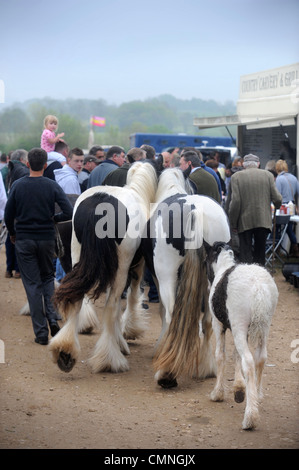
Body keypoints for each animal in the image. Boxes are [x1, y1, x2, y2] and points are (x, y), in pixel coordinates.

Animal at [49, 162, 158, 374]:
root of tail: (98, 206)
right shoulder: (136, 268)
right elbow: (131, 298)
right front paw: (126, 335)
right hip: (121, 269)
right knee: (111, 306)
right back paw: (110, 359)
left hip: (76, 257)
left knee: (76, 299)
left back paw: (66, 352)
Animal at [143, 167, 232, 388]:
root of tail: (194, 209)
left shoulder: (158, 278)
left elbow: (163, 312)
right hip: (210, 281)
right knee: (207, 322)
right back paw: (206, 368)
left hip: (166, 276)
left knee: (171, 315)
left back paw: (166, 374)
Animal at [206, 242, 278, 430]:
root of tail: (259, 287)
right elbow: (235, 355)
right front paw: (239, 389)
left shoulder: (218, 325)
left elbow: (221, 355)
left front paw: (218, 393)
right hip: (264, 327)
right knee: (261, 357)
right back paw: (256, 397)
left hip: (239, 326)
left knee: (249, 361)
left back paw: (250, 417)